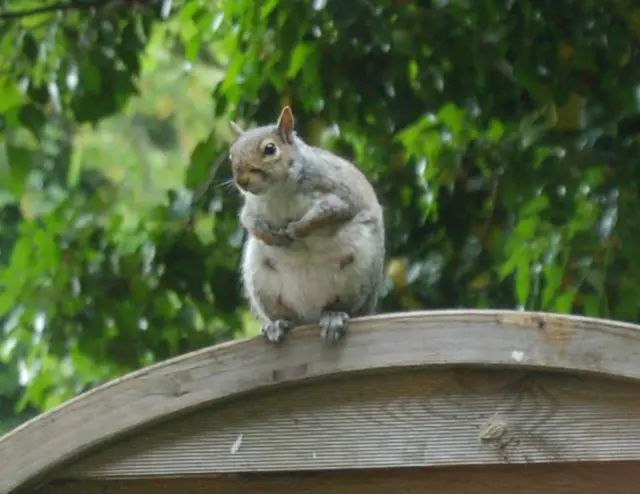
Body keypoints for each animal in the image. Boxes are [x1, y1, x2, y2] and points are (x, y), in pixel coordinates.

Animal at [229, 105, 384, 342]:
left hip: (360, 271)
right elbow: (249, 222)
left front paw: (299, 227)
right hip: (260, 279)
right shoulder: (252, 207)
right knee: (286, 315)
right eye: (231, 154)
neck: (277, 191)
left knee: (345, 306)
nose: (241, 181)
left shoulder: (338, 191)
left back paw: (333, 317)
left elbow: (332, 210)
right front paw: (272, 235)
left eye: (270, 149)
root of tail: (311, 313)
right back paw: (278, 324)